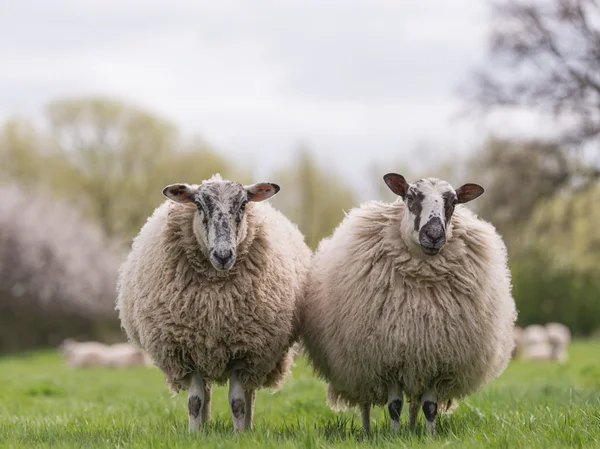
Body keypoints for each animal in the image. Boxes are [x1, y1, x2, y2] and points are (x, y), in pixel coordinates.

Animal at [119, 174, 312, 430]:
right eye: (199, 205)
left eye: (243, 204)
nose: (223, 255)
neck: (214, 304)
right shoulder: (187, 349)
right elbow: (194, 401)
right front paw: (194, 433)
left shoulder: (244, 351)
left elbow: (238, 402)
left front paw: (239, 434)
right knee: (207, 395)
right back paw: (205, 426)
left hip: (256, 358)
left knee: (249, 394)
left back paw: (247, 427)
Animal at [300, 173, 516, 432]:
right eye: (410, 197)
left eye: (453, 202)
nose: (434, 235)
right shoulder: (388, 358)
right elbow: (394, 404)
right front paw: (394, 434)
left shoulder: (436, 358)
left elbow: (430, 406)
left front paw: (430, 434)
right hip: (359, 366)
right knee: (365, 402)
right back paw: (367, 431)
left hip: (416, 364)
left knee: (415, 403)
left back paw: (413, 428)